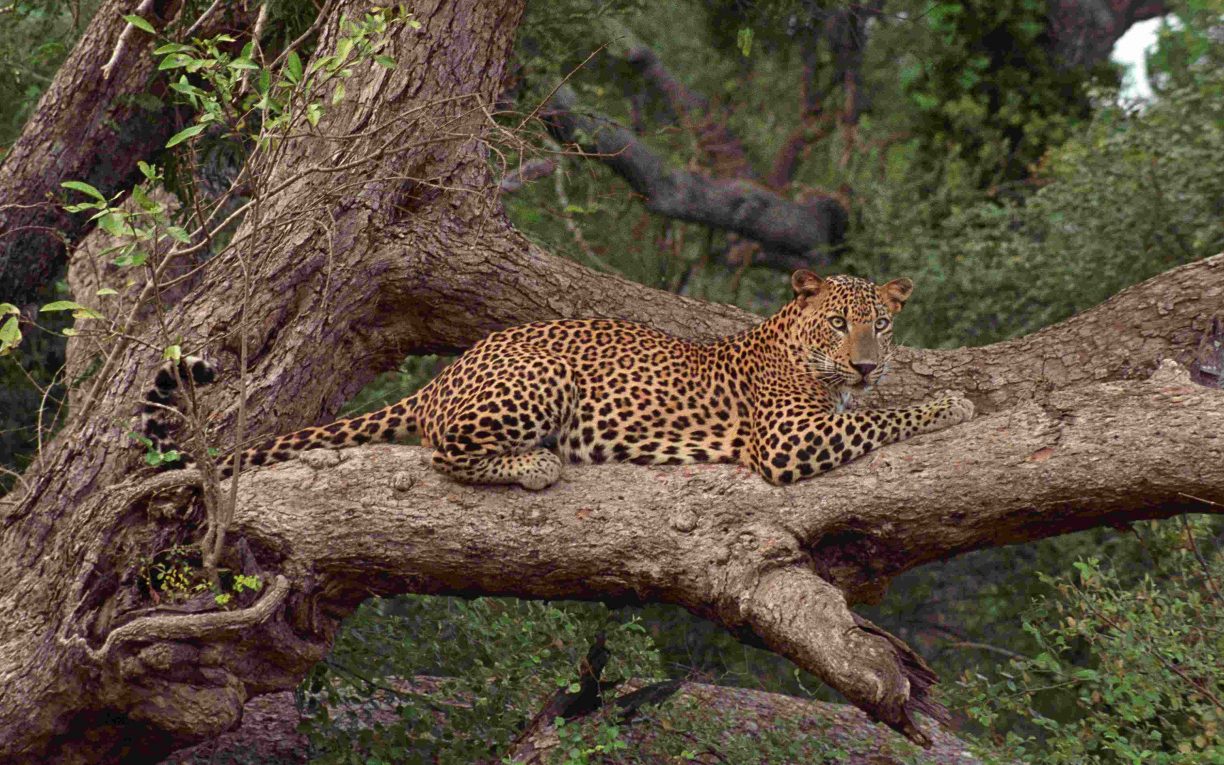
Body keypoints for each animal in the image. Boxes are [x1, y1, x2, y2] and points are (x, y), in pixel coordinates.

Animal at [139, 270, 974, 487]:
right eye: (837, 322)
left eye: (881, 323)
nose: (867, 361)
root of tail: (452, 369)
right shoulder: (790, 440)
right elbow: (880, 418)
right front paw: (951, 402)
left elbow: (873, 409)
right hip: (539, 379)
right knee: (443, 450)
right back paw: (534, 465)